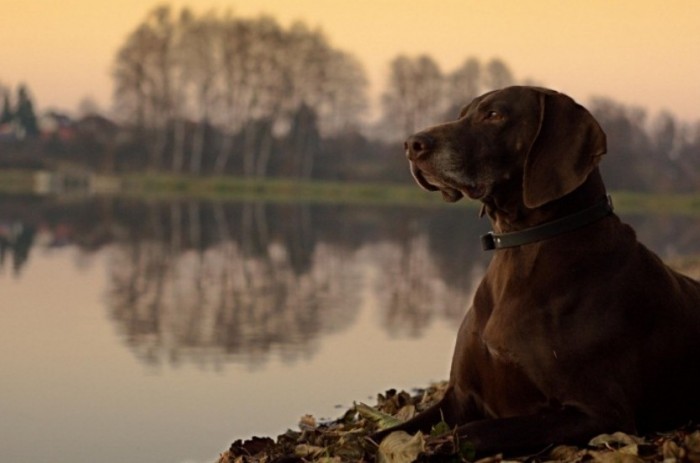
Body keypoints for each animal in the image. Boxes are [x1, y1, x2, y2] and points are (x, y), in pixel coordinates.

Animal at [380, 86, 700, 456]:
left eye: (494, 115)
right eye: (462, 114)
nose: (412, 144)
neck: (523, 247)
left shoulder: (600, 413)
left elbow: (475, 433)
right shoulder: (459, 397)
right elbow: (385, 434)